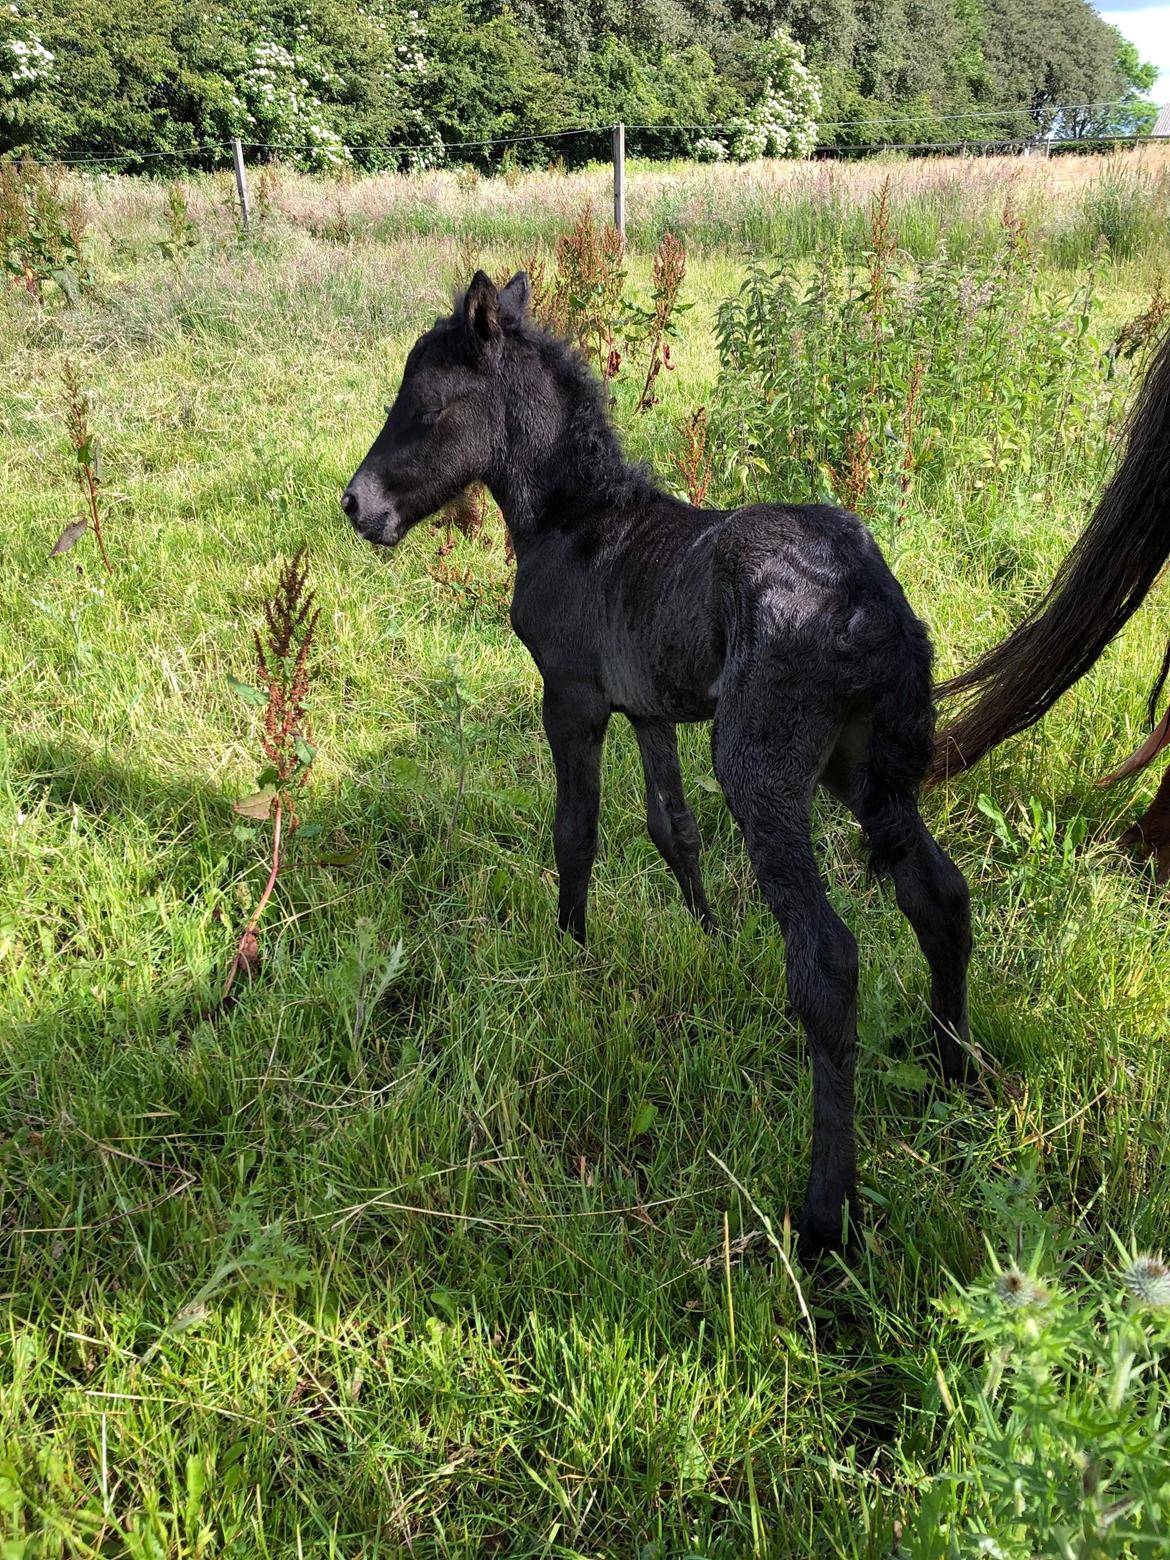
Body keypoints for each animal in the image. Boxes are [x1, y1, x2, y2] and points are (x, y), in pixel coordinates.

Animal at [343, 265, 973, 1241]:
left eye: (430, 408)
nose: (357, 505)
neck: (574, 521)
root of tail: (871, 595)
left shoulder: (571, 699)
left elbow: (577, 831)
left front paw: (569, 954)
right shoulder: (650, 710)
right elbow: (672, 828)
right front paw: (710, 938)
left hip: (763, 768)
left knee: (829, 961)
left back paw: (824, 1216)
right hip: (863, 766)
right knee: (937, 896)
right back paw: (954, 1074)